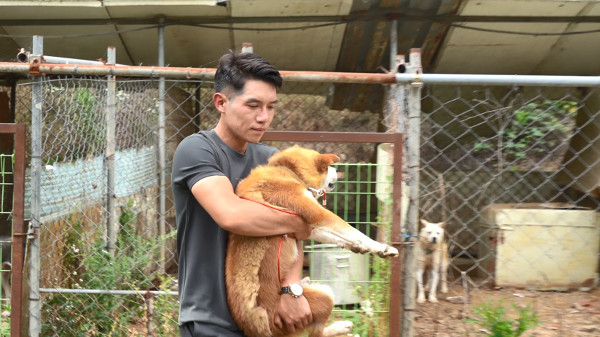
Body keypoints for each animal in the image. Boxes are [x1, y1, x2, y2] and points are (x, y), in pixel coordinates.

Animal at [227, 146, 400, 336]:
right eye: (330, 167)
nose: (338, 171)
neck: (290, 171)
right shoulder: (317, 214)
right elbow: (353, 231)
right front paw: (382, 247)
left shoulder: (308, 225)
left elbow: (336, 236)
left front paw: (357, 247)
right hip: (325, 295)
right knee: (318, 333)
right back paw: (342, 328)